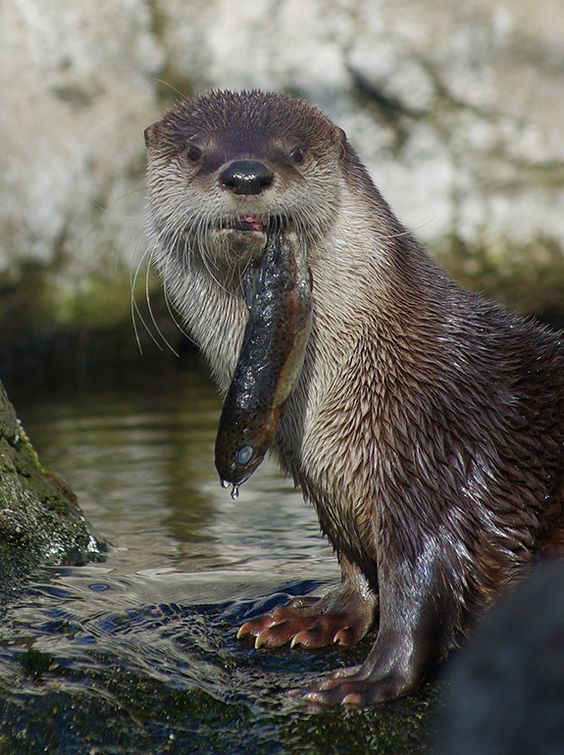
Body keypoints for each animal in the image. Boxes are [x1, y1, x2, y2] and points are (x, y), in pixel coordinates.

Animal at [145, 91, 564, 704]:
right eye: (197, 151)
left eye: (294, 151)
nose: (246, 174)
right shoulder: (332, 491)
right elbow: (355, 567)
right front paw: (314, 616)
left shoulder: (435, 468)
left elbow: (421, 583)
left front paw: (369, 680)